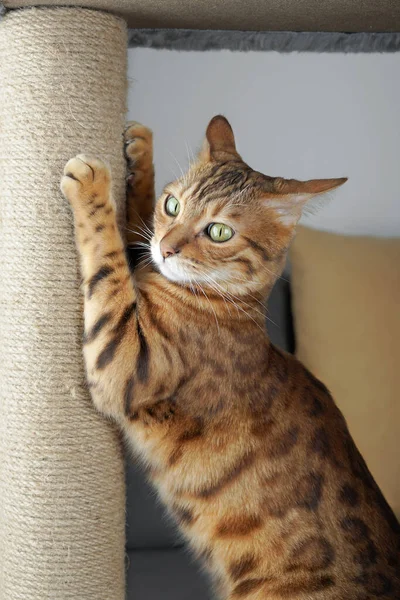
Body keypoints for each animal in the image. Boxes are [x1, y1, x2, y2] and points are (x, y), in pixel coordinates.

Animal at [61, 115, 398, 596]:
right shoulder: (146, 257)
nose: (167, 249)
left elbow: (110, 263)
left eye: (219, 232)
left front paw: (93, 185)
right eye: (172, 205)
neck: (225, 306)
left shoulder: (126, 363)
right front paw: (141, 153)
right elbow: (134, 238)